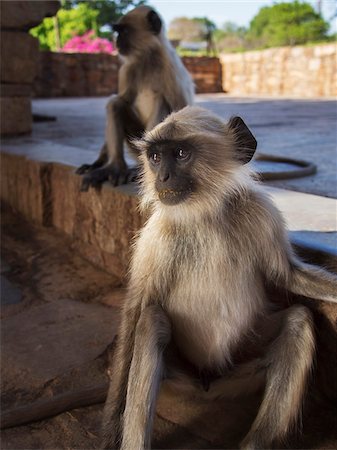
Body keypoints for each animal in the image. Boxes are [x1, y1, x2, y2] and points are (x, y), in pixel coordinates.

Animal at [75, 5, 193, 192]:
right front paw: (96, 163)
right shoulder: (127, 69)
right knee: (115, 103)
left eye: (124, 31)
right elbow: (122, 100)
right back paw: (114, 168)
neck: (148, 57)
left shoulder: (171, 69)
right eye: (118, 31)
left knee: (162, 102)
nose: (116, 41)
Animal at [101, 106, 336, 450]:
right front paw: (110, 425)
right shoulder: (155, 236)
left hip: (240, 368)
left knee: (299, 321)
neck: (204, 214)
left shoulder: (260, 212)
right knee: (150, 321)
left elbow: (287, 275)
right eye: (155, 157)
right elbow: (136, 311)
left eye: (180, 154)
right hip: (181, 378)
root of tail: (207, 385)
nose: (162, 178)